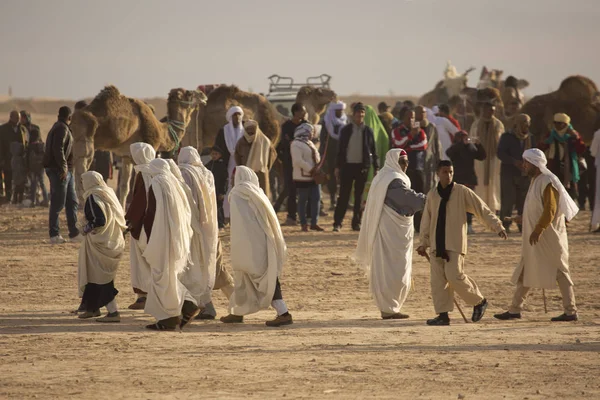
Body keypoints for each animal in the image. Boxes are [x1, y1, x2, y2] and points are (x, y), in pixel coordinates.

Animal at [69, 84, 206, 203]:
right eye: (189, 93)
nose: (203, 95)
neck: (161, 131)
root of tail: (75, 116)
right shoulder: (149, 147)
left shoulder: (126, 156)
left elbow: (124, 187)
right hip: (85, 138)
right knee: (82, 167)